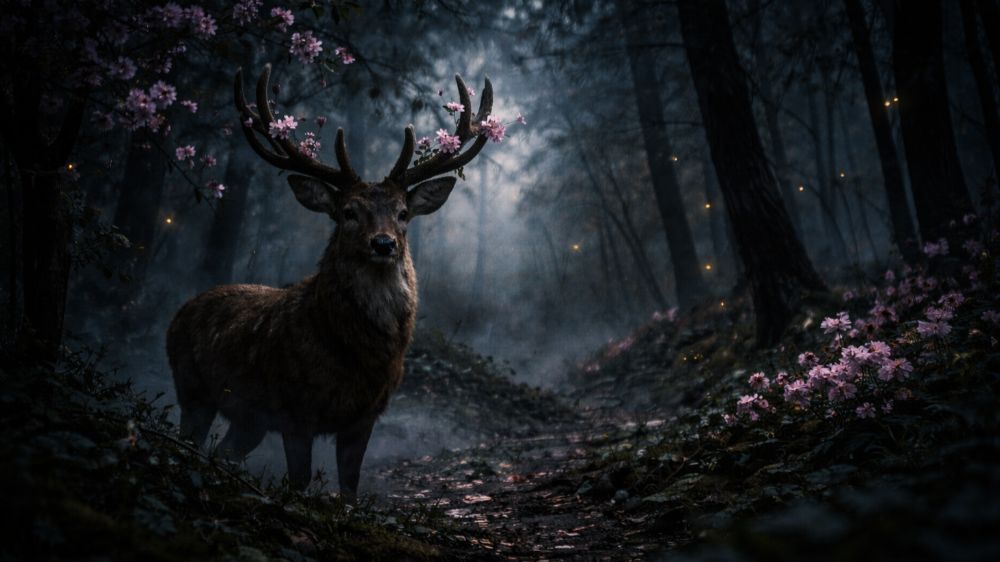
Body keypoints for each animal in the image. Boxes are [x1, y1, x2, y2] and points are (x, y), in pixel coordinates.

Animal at [166, 63, 495, 498]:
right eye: (348, 212)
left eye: (403, 212)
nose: (384, 243)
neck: (355, 357)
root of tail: (181, 311)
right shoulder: (293, 408)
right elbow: (299, 481)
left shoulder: (366, 416)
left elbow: (350, 488)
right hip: (192, 390)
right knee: (190, 440)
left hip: (248, 419)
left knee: (225, 451)